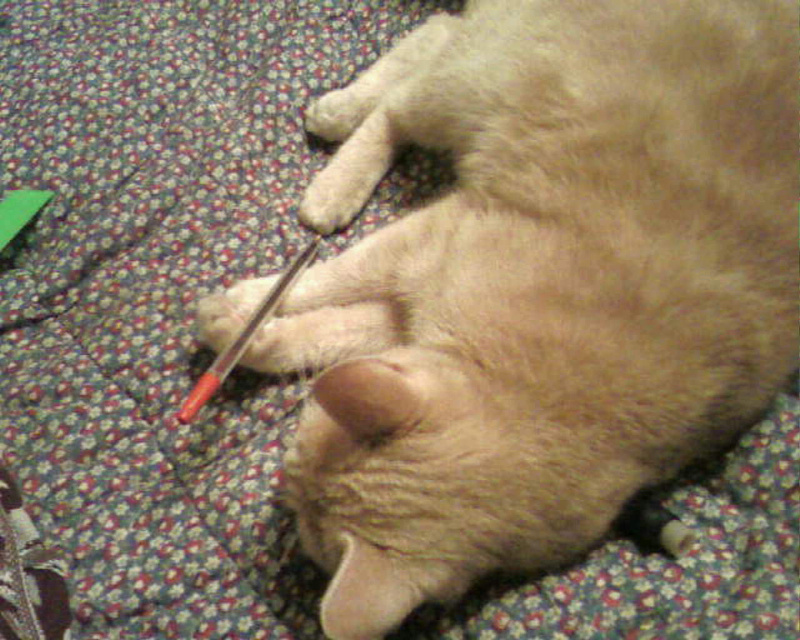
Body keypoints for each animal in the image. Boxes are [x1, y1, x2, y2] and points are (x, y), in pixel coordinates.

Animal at [196, 0, 798, 638]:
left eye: (295, 459)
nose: (281, 485)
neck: (551, 392)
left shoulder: (402, 315)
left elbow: (324, 331)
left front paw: (243, 332)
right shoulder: (430, 238)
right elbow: (328, 275)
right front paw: (246, 304)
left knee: (432, 46)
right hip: (477, 80)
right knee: (421, 64)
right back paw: (337, 154)